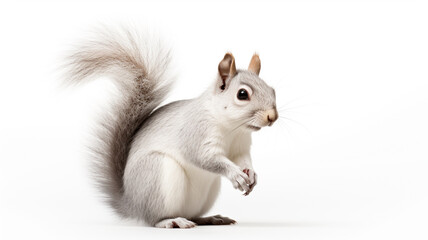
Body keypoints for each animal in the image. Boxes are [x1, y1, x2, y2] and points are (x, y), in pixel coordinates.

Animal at [63, 26, 278, 229]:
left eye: (272, 89)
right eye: (242, 94)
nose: (272, 116)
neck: (232, 128)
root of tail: (132, 204)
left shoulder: (240, 145)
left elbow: (243, 159)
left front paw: (252, 174)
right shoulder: (196, 132)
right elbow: (206, 158)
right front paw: (235, 174)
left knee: (192, 215)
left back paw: (211, 218)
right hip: (157, 173)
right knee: (153, 218)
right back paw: (171, 221)